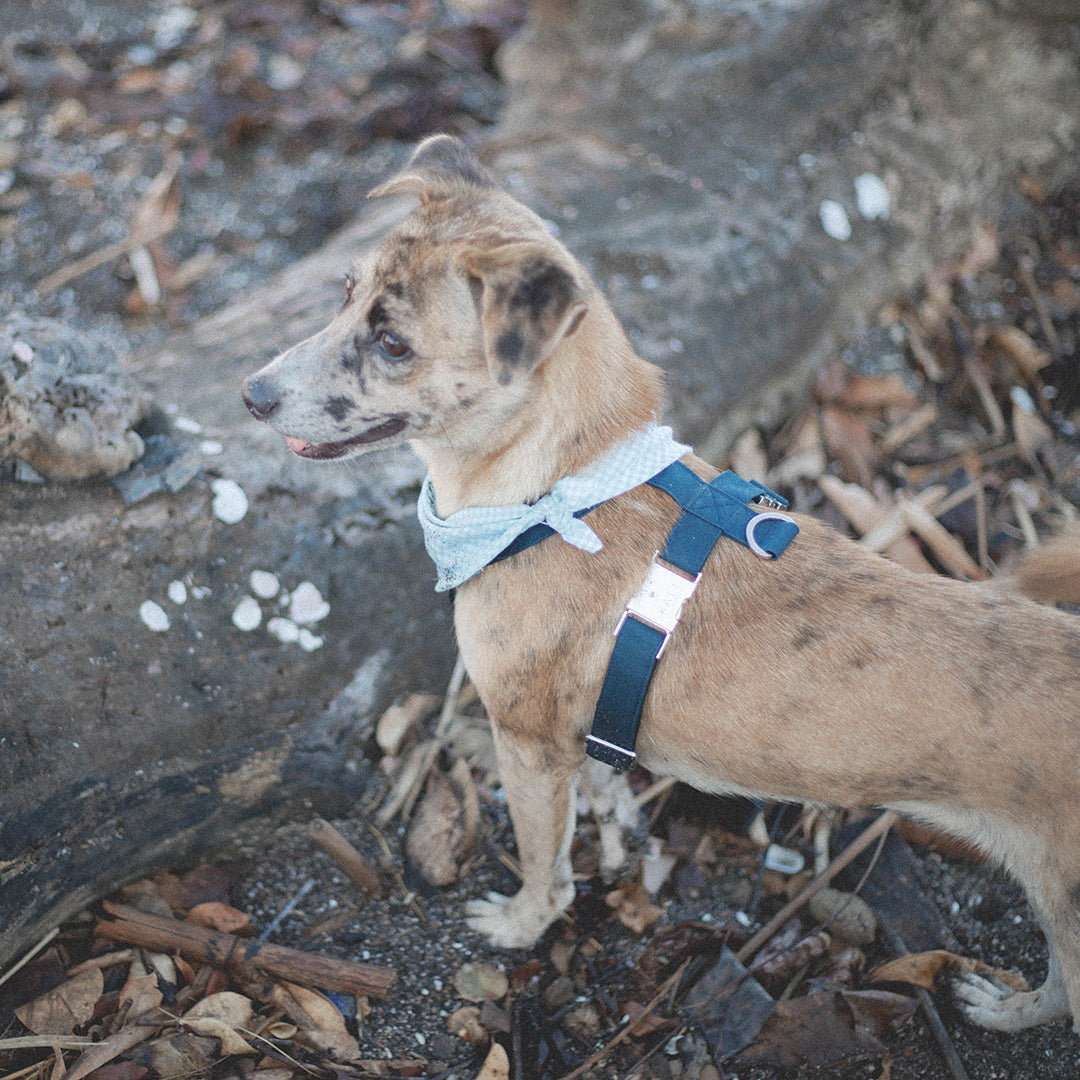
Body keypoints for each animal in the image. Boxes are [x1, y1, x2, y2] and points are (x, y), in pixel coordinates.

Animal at [243, 137, 1080, 1036]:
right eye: (344, 291)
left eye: (395, 345)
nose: (251, 395)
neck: (569, 486)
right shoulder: (583, 732)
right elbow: (606, 787)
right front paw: (617, 836)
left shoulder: (525, 745)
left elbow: (544, 865)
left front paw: (519, 923)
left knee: (1066, 990)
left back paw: (1004, 1009)